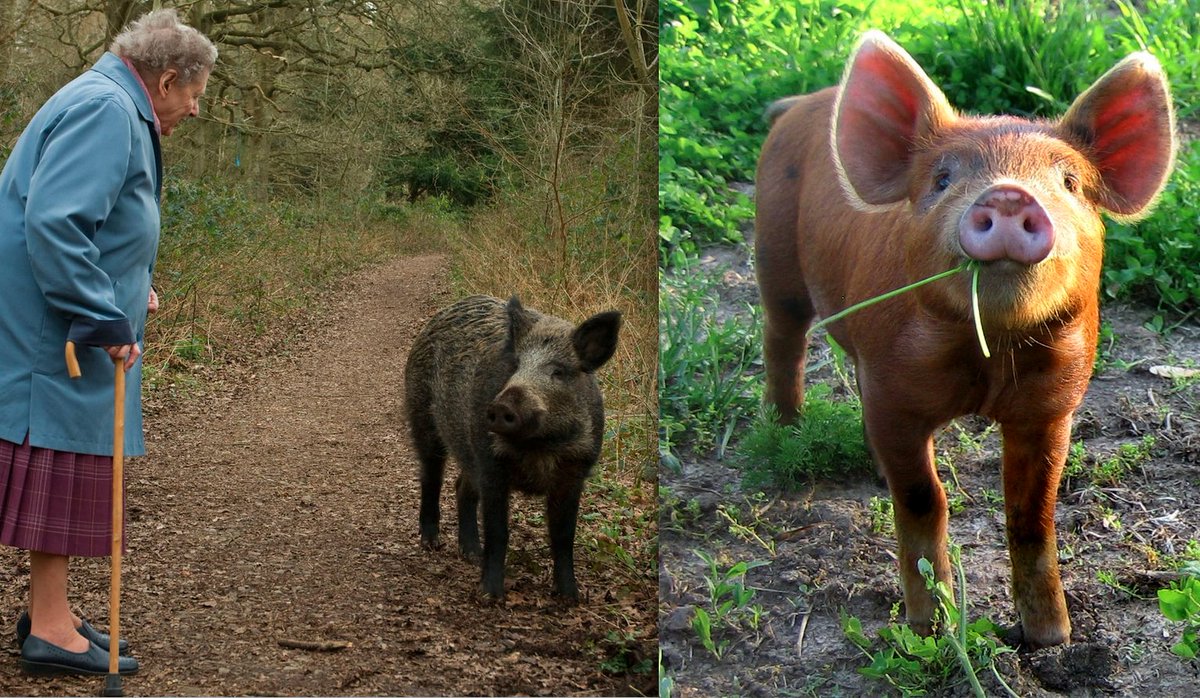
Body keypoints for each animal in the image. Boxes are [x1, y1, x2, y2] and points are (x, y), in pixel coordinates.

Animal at [404, 294, 621, 601]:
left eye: (558, 372)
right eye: (515, 366)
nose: (500, 407)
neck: (540, 446)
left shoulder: (574, 473)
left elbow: (564, 536)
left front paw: (571, 598)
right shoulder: (492, 466)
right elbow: (498, 532)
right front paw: (490, 596)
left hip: (467, 449)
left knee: (462, 487)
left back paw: (472, 554)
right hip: (422, 414)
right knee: (430, 475)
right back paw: (431, 543)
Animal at [755, 31, 1175, 648]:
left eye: (1070, 183)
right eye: (942, 180)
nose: (1008, 196)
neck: (988, 357)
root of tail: (802, 103)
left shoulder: (1052, 405)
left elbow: (1031, 512)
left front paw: (1052, 639)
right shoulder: (896, 395)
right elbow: (923, 500)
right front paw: (928, 630)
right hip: (775, 253)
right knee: (783, 337)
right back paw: (786, 432)